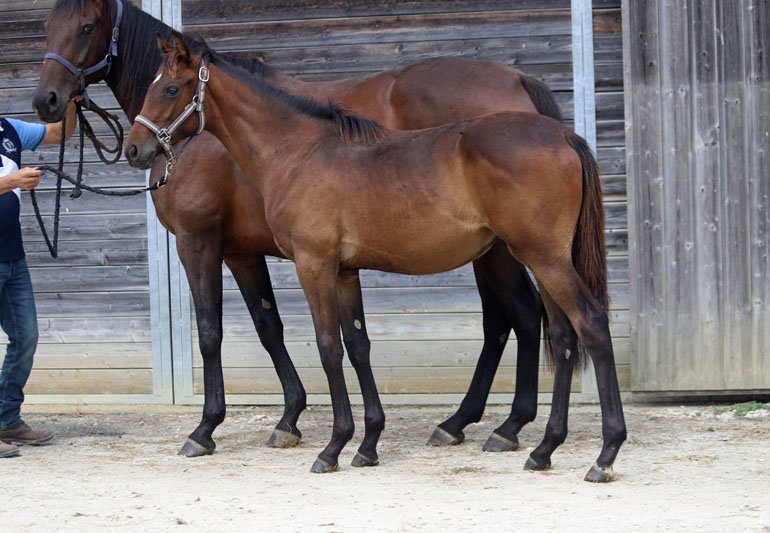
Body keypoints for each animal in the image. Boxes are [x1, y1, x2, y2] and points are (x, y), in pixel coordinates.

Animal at [33, 0, 561, 459]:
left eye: (86, 27)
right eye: (47, 27)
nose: (46, 101)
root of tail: (518, 79)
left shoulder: (198, 241)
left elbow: (210, 331)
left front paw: (206, 428)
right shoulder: (243, 252)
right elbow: (270, 327)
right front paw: (289, 418)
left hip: (502, 249)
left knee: (521, 314)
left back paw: (507, 425)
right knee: (504, 320)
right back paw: (464, 423)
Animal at [125, 34, 626, 482]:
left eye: (171, 89)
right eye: (151, 85)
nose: (134, 149)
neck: (300, 150)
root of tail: (563, 134)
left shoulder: (309, 264)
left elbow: (328, 347)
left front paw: (331, 447)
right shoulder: (346, 272)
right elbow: (358, 345)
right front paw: (366, 445)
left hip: (540, 259)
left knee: (588, 325)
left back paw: (602, 455)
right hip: (544, 260)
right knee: (561, 334)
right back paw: (542, 448)